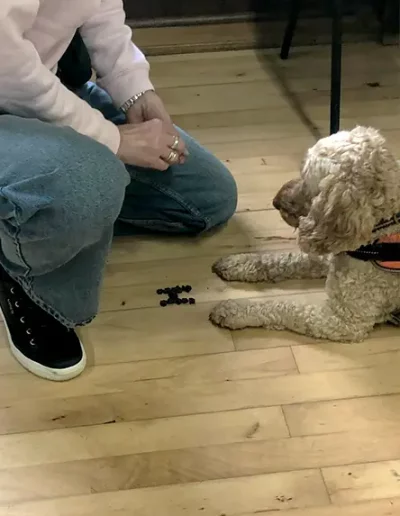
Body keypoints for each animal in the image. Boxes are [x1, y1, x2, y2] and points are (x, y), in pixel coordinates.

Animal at [209, 126, 400, 340]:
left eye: (307, 179)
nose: (275, 201)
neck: (383, 225)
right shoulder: (333, 256)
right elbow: (287, 260)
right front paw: (240, 263)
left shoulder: (343, 322)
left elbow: (286, 308)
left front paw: (235, 311)